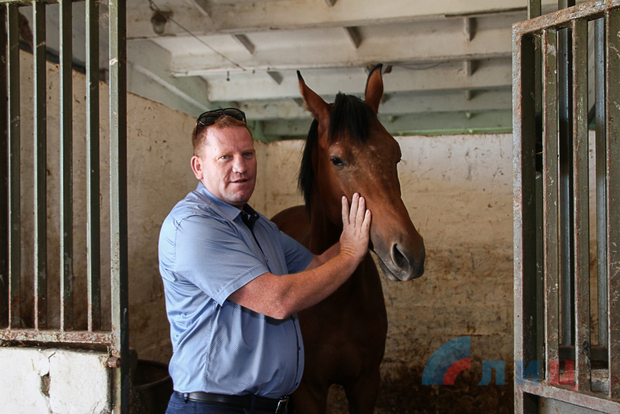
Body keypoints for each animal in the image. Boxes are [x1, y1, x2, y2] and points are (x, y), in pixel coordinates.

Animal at [272, 63, 426, 412]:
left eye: (396, 155)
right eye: (337, 160)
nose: (409, 254)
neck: (337, 301)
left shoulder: (366, 383)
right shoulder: (308, 391)